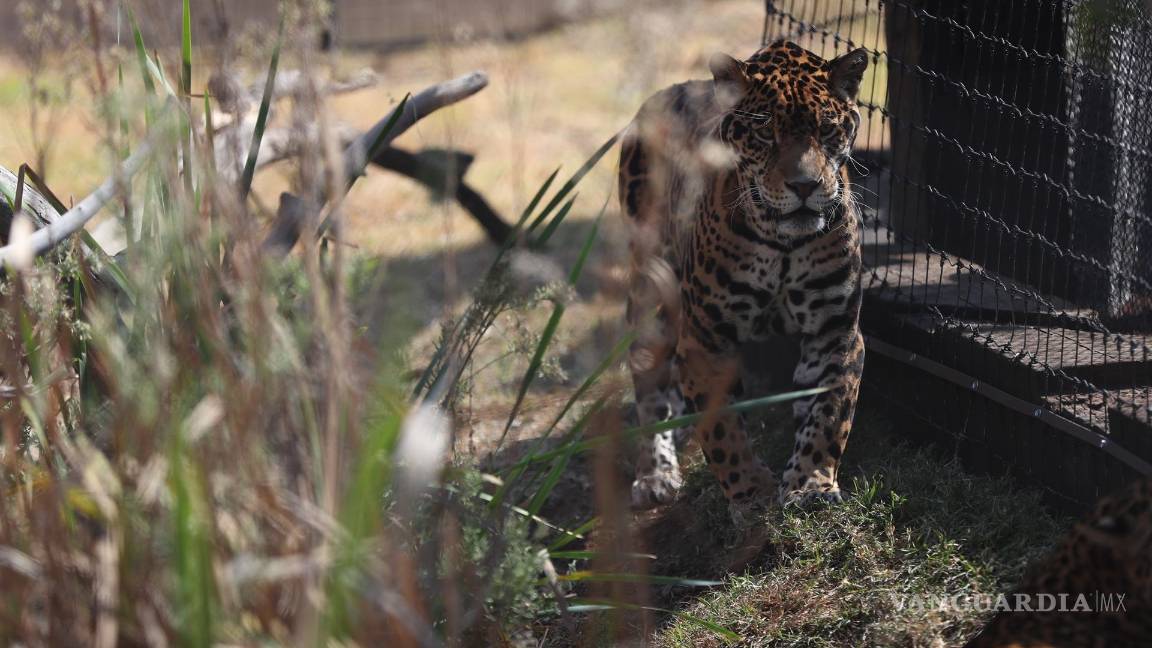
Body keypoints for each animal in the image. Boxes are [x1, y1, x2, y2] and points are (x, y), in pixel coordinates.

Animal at [618, 40, 869, 520]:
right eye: (764, 133)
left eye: (827, 130)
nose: (805, 186)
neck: (783, 244)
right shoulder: (707, 338)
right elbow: (723, 430)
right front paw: (750, 492)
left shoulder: (835, 330)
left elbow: (829, 413)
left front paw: (809, 484)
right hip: (652, 295)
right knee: (649, 387)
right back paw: (654, 474)